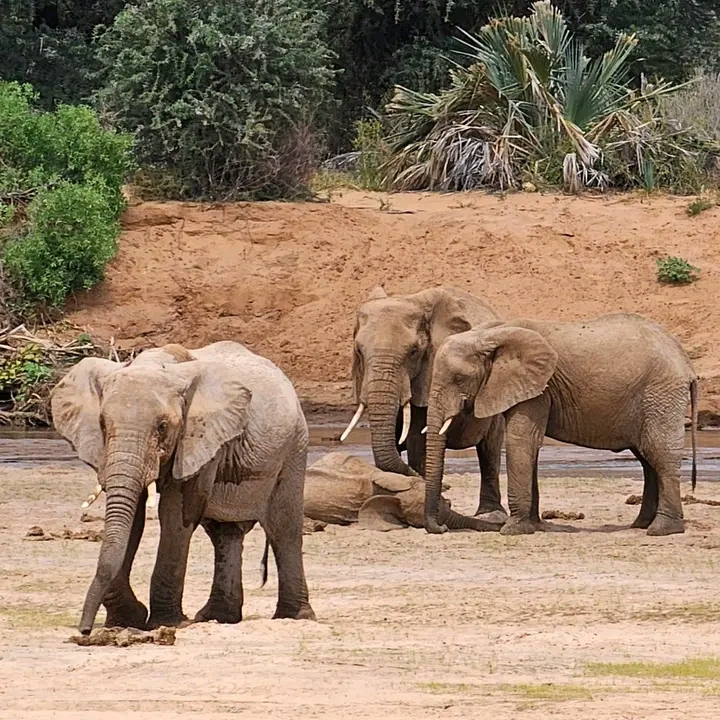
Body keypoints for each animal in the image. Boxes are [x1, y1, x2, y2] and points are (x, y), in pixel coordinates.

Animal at [50, 341, 315, 635]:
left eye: (162, 426)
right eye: (102, 425)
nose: (84, 631)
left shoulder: (201, 438)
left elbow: (175, 517)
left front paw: (163, 622)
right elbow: (133, 517)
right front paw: (126, 620)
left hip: (295, 446)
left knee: (283, 528)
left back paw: (295, 617)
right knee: (224, 533)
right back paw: (218, 617)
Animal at [340, 285, 507, 524]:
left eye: (413, 352)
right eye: (358, 352)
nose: (447, 487)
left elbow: (418, 440)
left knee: (490, 449)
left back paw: (491, 514)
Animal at [423, 313, 698, 537]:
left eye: (460, 378)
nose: (441, 528)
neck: (491, 334)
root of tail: (687, 363)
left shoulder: (537, 387)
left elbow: (521, 440)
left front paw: (512, 530)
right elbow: (530, 445)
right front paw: (534, 526)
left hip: (660, 393)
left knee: (660, 454)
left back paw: (662, 530)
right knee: (647, 459)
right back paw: (641, 525)